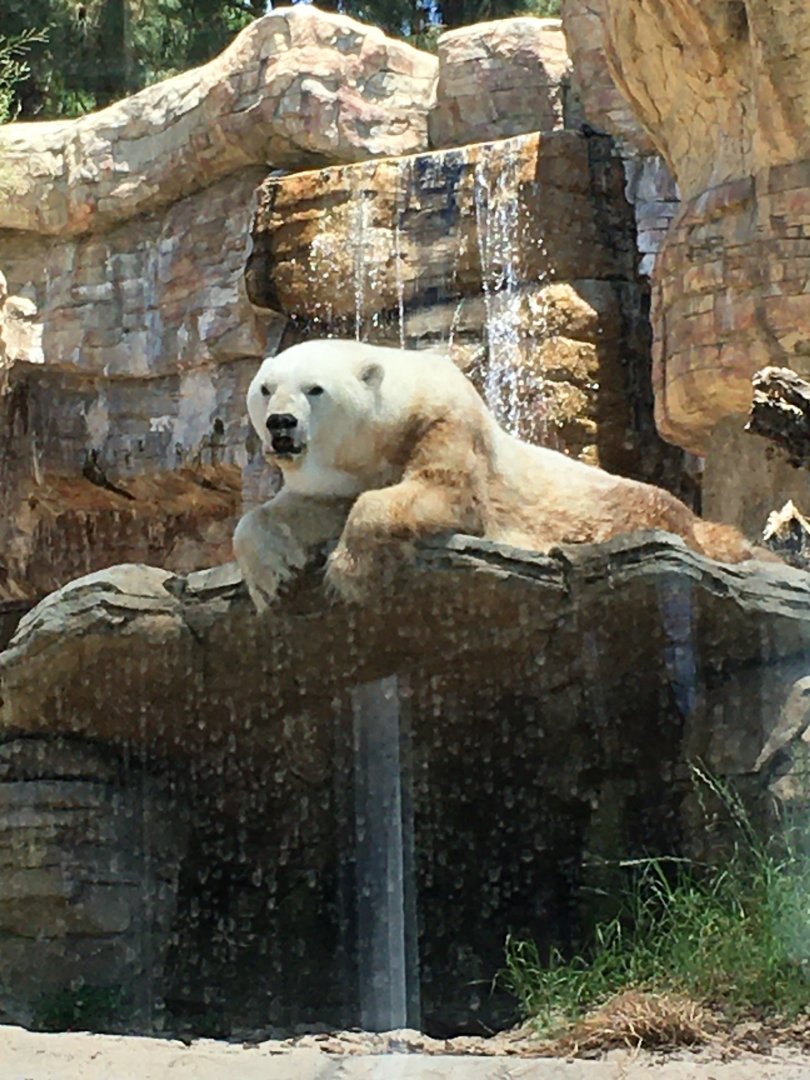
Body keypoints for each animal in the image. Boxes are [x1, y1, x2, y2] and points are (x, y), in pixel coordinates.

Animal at [234, 338, 773, 611]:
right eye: (266, 388)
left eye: (315, 388)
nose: (282, 424)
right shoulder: (342, 475)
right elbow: (304, 509)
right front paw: (271, 576)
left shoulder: (446, 423)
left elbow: (445, 493)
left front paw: (348, 572)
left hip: (629, 507)